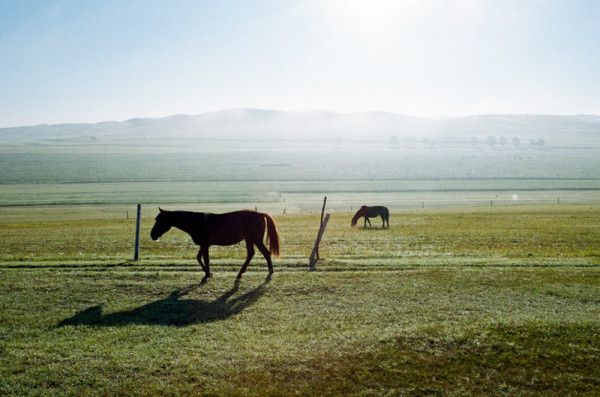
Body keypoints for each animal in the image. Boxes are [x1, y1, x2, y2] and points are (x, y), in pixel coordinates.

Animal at [151, 207, 280, 282]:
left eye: (160, 220)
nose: (152, 235)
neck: (196, 222)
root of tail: (260, 214)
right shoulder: (203, 245)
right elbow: (198, 258)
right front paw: (208, 273)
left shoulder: (205, 245)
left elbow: (206, 259)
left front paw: (207, 275)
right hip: (249, 239)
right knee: (251, 254)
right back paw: (240, 274)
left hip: (256, 239)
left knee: (265, 253)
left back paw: (269, 273)